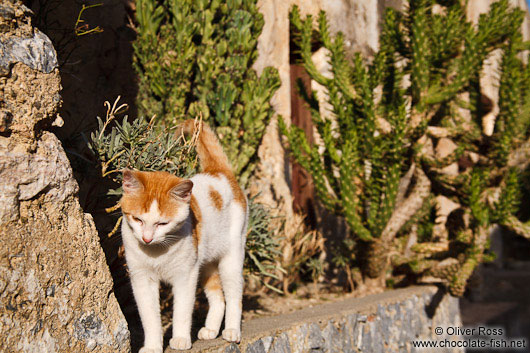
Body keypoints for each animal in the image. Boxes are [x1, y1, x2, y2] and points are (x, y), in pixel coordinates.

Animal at [121, 119, 248, 350]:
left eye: (162, 223)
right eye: (138, 220)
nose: (147, 238)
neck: (157, 252)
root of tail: (218, 171)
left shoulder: (185, 276)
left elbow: (181, 311)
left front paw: (180, 339)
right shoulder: (142, 278)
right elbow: (150, 317)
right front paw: (153, 346)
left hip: (231, 259)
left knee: (234, 295)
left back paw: (232, 331)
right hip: (206, 264)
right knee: (218, 297)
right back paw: (211, 330)